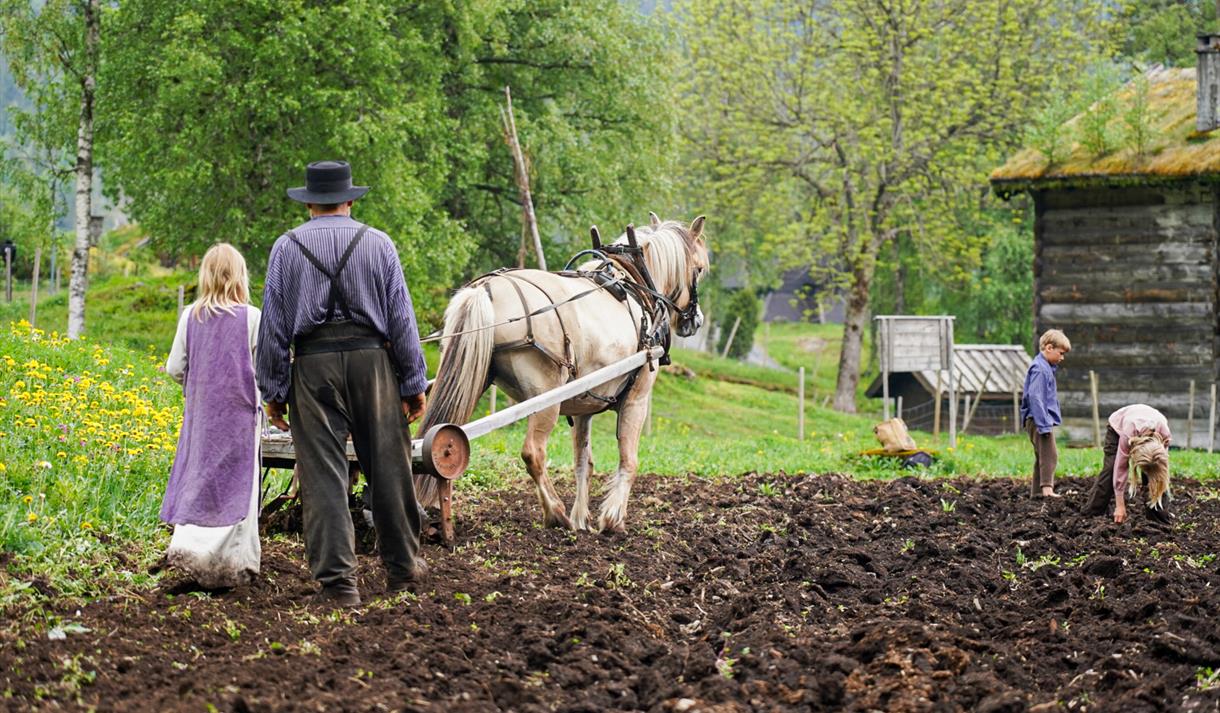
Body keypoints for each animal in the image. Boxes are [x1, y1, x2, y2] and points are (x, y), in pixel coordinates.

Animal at [414, 214, 712, 532]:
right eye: (699, 269)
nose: (696, 320)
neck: (637, 287)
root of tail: (486, 289)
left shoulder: (584, 406)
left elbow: (584, 463)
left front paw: (582, 519)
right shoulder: (638, 398)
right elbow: (629, 461)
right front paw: (613, 519)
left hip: (471, 376)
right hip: (546, 398)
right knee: (533, 452)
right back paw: (556, 513)